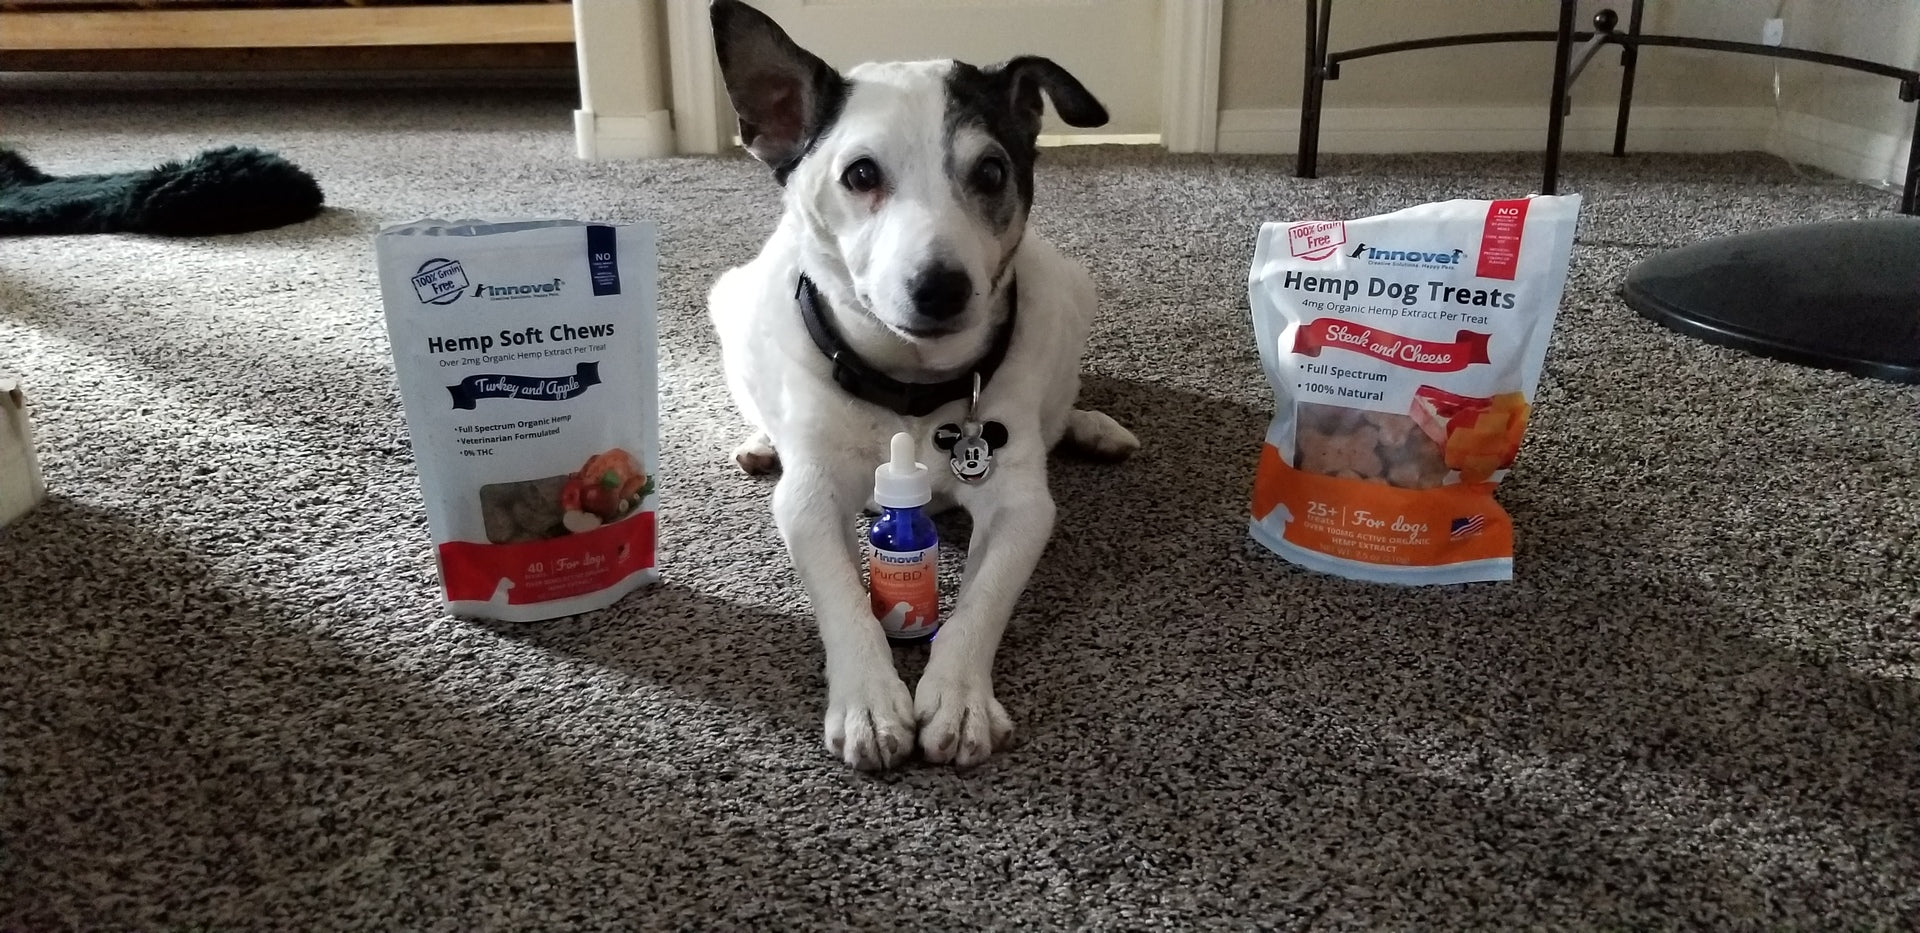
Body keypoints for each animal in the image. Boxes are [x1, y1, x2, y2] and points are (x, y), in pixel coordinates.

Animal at [705, 0, 1138, 769]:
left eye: (991, 172)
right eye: (859, 174)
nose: (940, 288)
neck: (910, 389)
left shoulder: (1021, 505)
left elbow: (983, 600)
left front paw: (960, 695)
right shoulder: (811, 499)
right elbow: (844, 596)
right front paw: (870, 700)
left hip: (1071, 285)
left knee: (1064, 401)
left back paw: (1091, 426)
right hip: (728, 302)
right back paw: (760, 440)